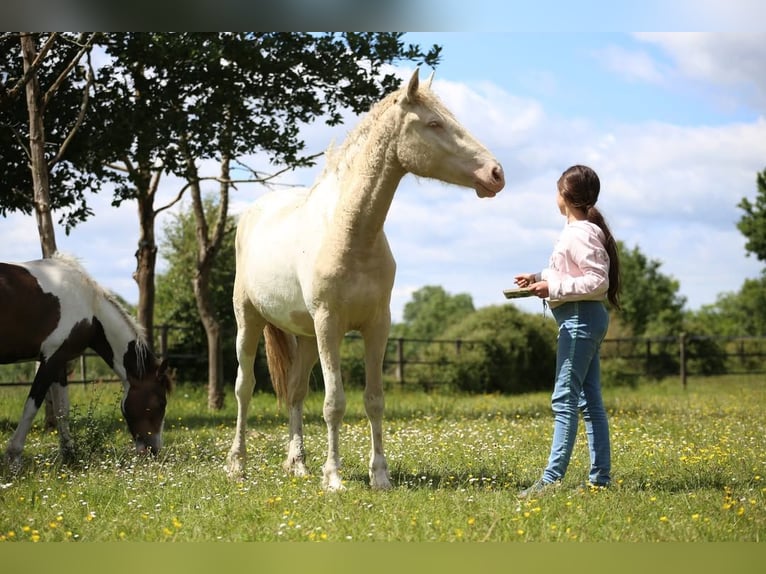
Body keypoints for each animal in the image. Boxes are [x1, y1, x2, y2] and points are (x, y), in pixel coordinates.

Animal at [0, 253, 172, 464]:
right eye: (161, 403)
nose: (153, 450)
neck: (89, 307)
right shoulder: (49, 360)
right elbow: (31, 407)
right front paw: (13, 457)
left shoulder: (59, 362)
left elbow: (62, 410)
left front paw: (69, 454)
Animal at [225, 68, 505, 491]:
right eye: (434, 123)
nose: (496, 173)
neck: (349, 230)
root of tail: (254, 211)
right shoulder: (330, 325)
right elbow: (334, 403)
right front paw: (334, 478)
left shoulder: (377, 325)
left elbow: (374, 400)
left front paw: (380, 477)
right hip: (250, 320)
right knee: (244, 388)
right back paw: (238, 464)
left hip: (305, 337)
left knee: (295, 391)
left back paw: (298, 465)